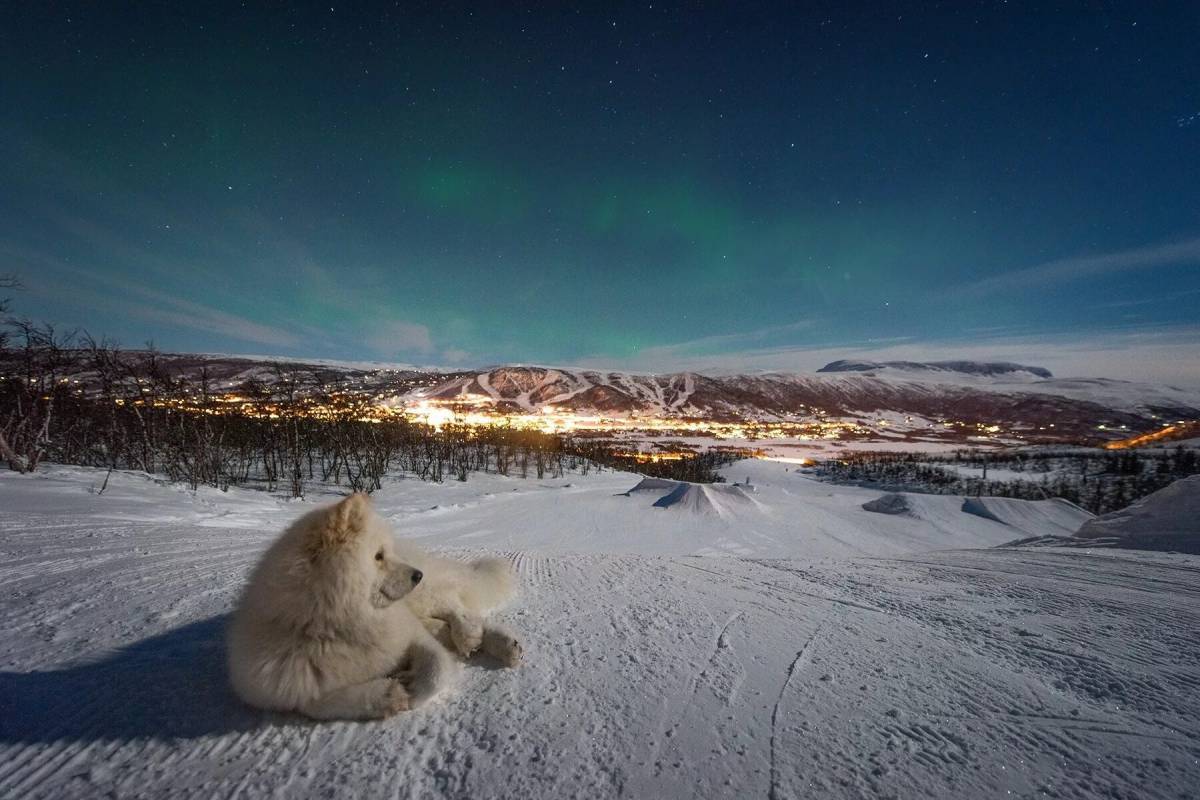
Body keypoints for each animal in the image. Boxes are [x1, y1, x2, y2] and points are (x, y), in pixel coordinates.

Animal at [226, 491, 523, 724]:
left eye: (385, 553)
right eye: (378, 557)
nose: (418, 576)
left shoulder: (411, 634)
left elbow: (436, 670)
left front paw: (412, 683)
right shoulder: (285, 686)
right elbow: (324, 703)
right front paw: (387, 695)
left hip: (424, 598)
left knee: (457, 608)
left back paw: (474, 636)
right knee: (451, 623)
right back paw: (500, 645)